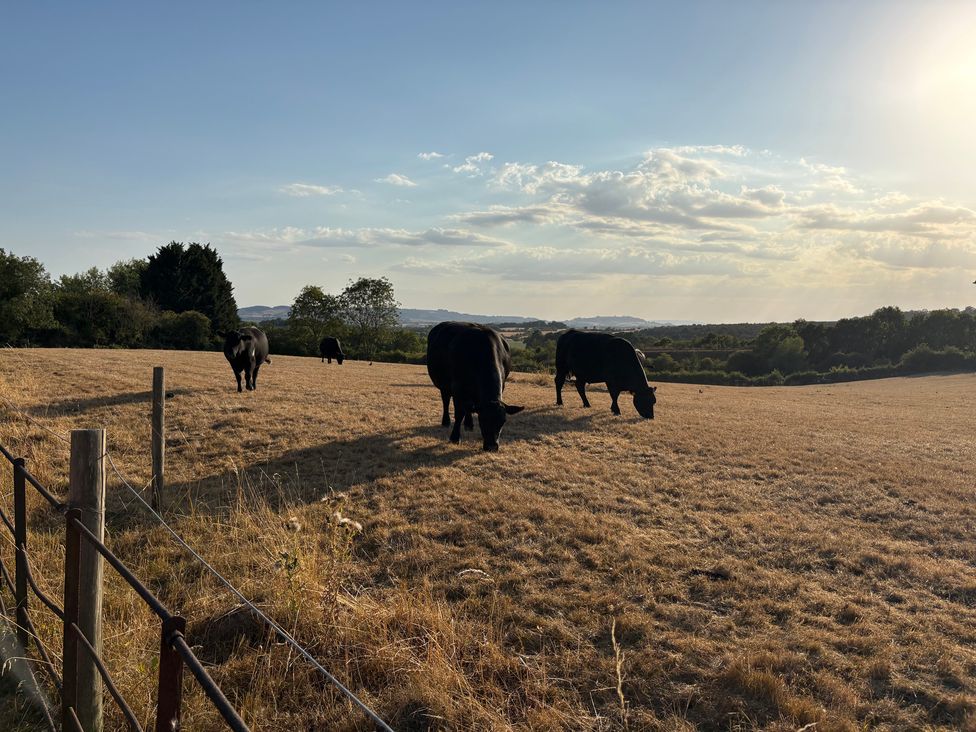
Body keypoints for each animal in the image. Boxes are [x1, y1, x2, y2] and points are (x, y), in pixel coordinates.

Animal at [426, 322, 525, 451]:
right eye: (482, 419)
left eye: (503, 421)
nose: (492, 446)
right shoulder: (458, 388)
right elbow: (459, 413)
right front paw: (455, 438)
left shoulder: (502, 385)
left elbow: (468, 408)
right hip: (444, 384)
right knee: (446, 401)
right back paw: (446, 422)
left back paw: (469, 424)